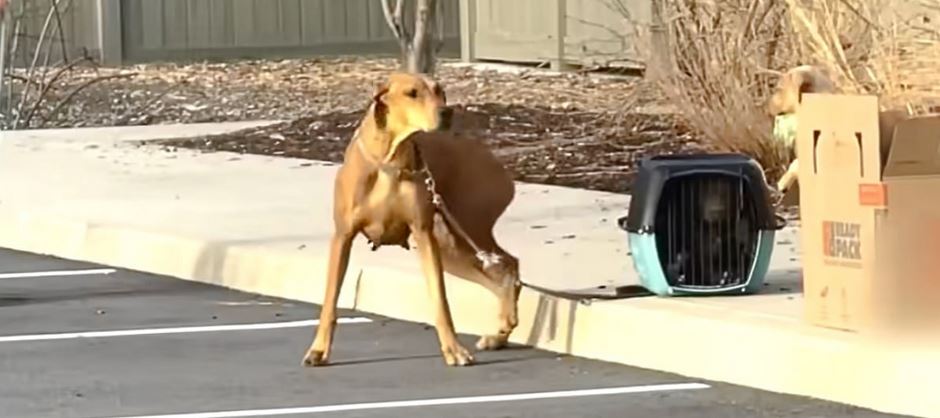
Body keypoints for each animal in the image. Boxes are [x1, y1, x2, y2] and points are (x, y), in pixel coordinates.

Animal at [302, 73, 520, 368]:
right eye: (412, 93)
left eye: (440, 91)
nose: (446, 112)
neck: (390, 158)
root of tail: (492, 159)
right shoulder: (343, 236)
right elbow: (329, 302)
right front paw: (318, 350)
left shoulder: (424, 234)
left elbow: (441, 301)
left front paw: (454, 350)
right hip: (453, 246)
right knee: (502, 274)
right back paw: (500, 334)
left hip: (464, 228)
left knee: (509, 266)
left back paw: (501, 330)